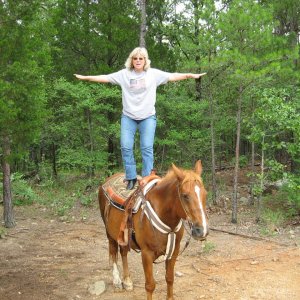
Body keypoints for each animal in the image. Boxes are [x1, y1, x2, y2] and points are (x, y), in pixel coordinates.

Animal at [98, 161, 209, 300]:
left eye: (205, 194)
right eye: (185, 196)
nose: (202, 230)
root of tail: (108, 180)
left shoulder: (174, 251)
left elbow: (170, 278)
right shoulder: (146, 254)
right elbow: (150, 285)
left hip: (123, 234)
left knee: (123, 252)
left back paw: (127, 281)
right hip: (109, 233)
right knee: (113, 251)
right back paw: (117, 281)